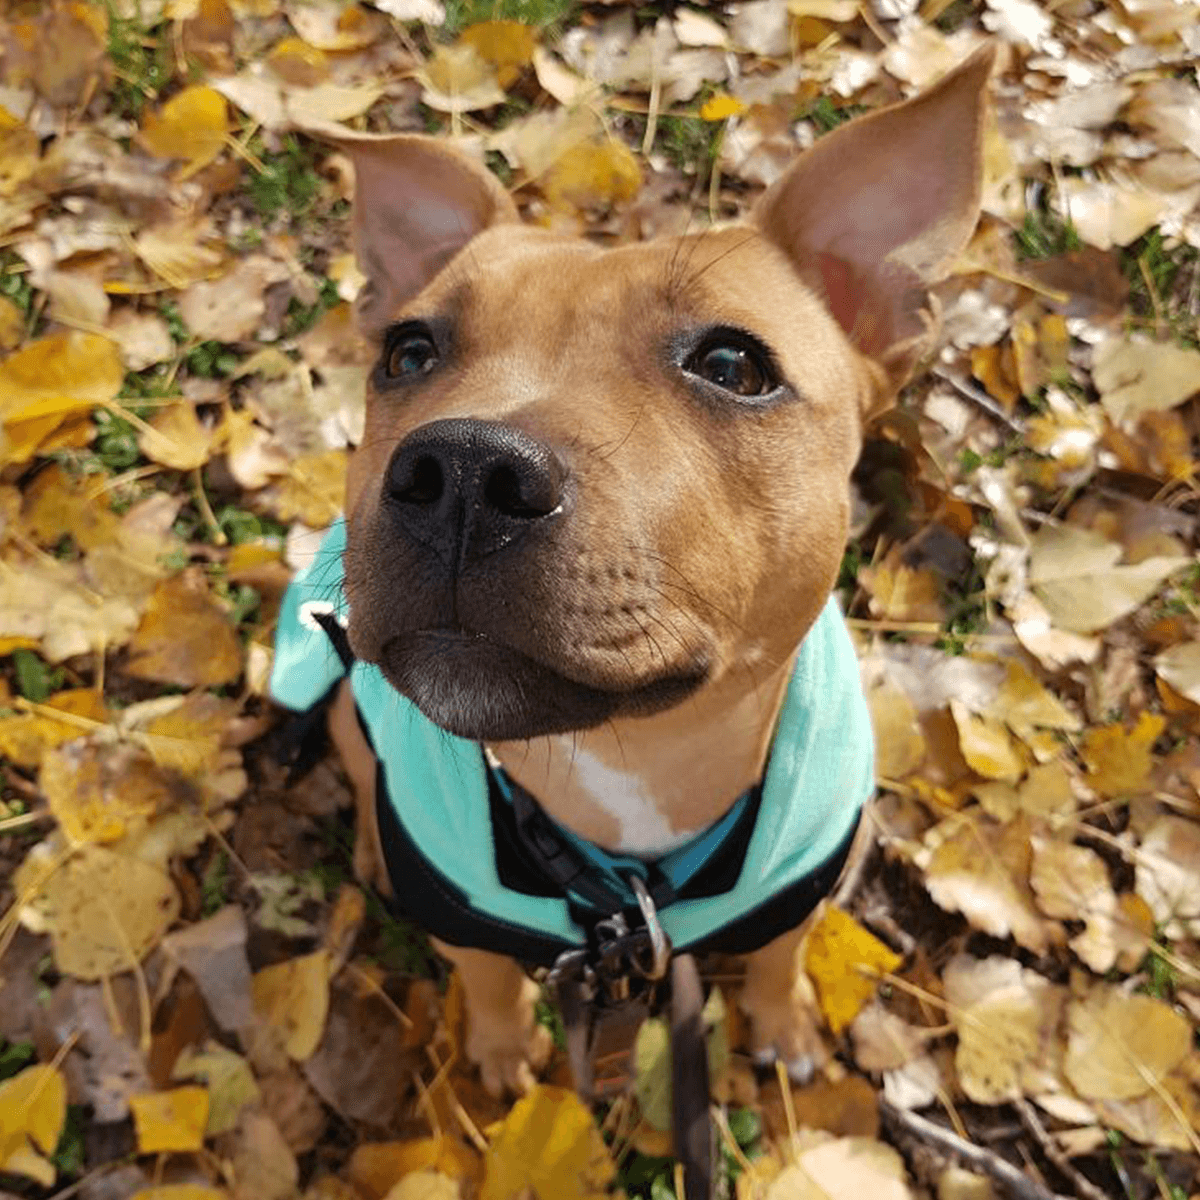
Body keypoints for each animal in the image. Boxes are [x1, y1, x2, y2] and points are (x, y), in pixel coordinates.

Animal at [272, 44, 993, 1104]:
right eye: (407, 352)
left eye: (733, 365)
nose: (463, 473)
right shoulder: (470, 923)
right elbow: (488, 981)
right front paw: (501, 1053)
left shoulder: (805, 889)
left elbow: (778, 958)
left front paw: (783, 1025)